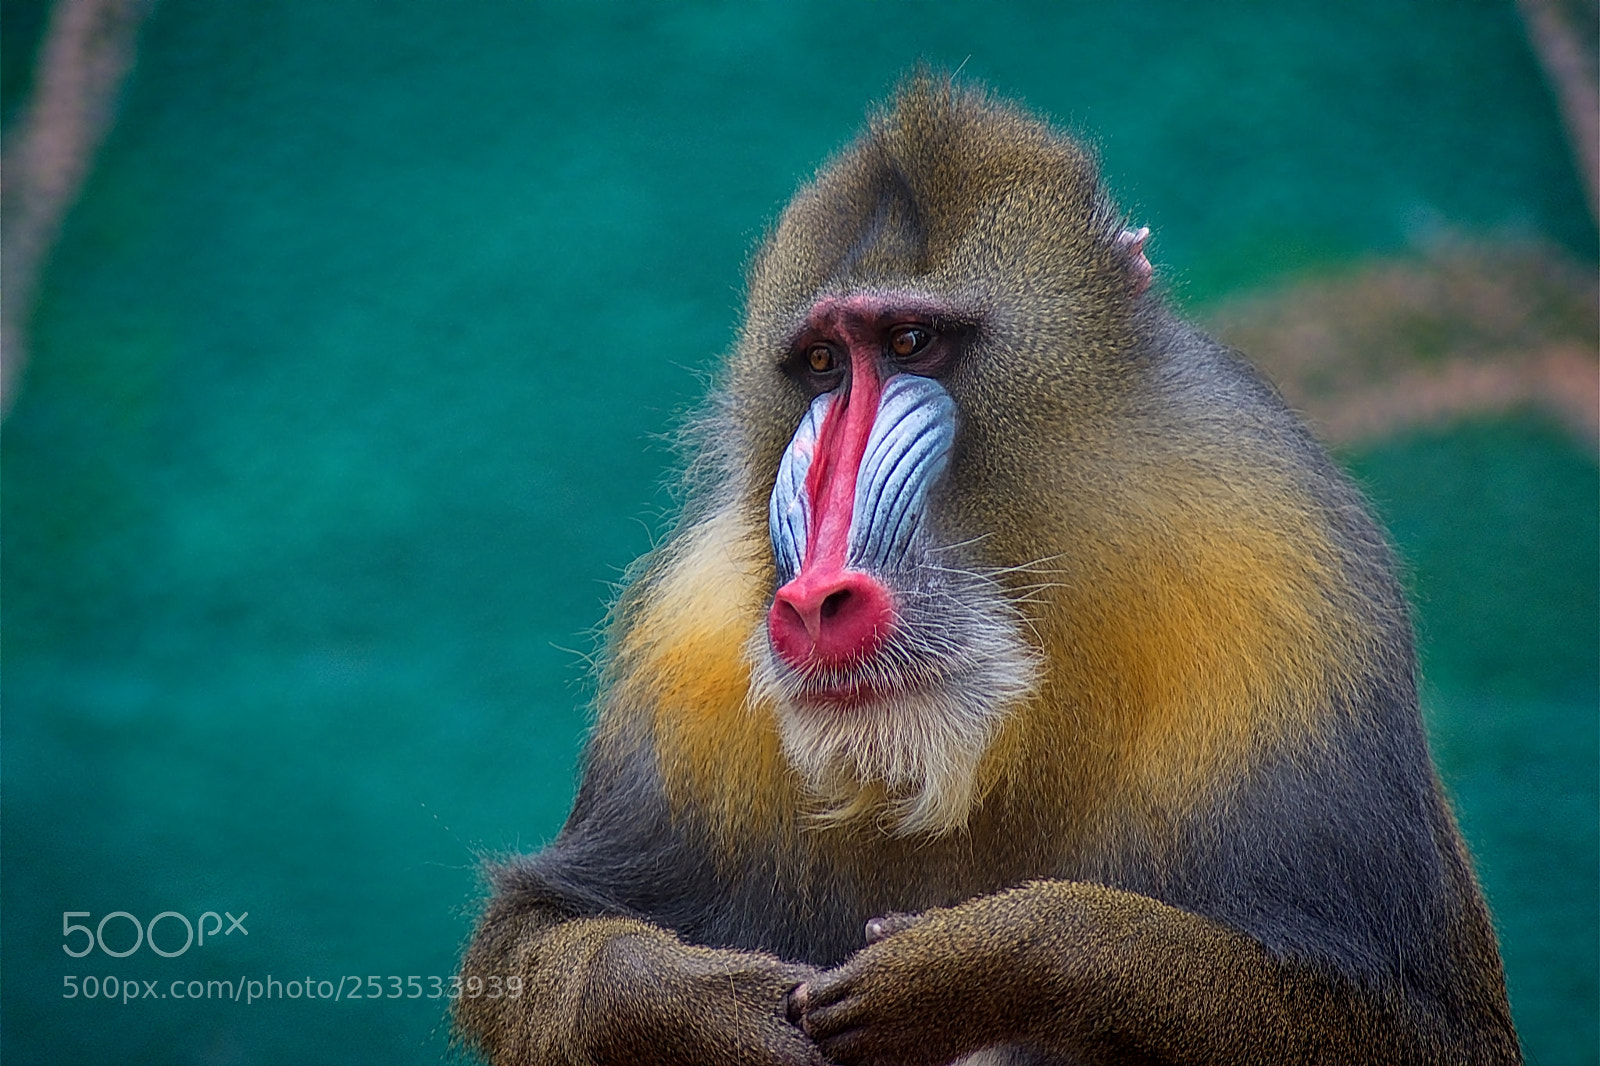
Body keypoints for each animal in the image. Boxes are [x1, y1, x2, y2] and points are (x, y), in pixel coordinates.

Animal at [455, 75, 1521, 1066]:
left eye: (911, 342)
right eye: (822, 365)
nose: (813, 601)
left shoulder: (1286, 580)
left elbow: (1406, 1025)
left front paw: (974, 958)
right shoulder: (689, 647)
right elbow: (533, 938)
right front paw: (713, 1009)